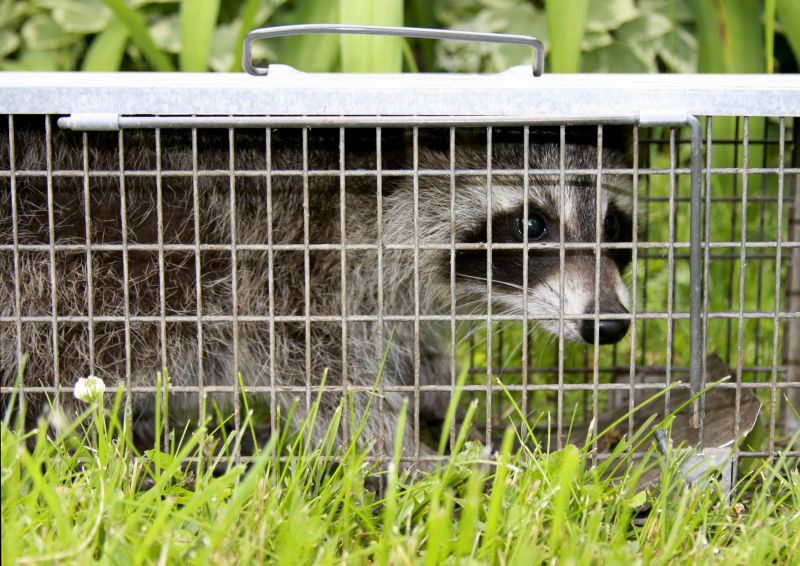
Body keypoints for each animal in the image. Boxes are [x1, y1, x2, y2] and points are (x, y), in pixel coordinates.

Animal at [0, 118, 632, 460]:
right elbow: (323, 374)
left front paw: (442, 395)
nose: (608, 322)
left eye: (613, 225)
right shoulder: (284, 262)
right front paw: (407, 454)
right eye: (532, 225)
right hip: (67, 268)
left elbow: (409, 348)